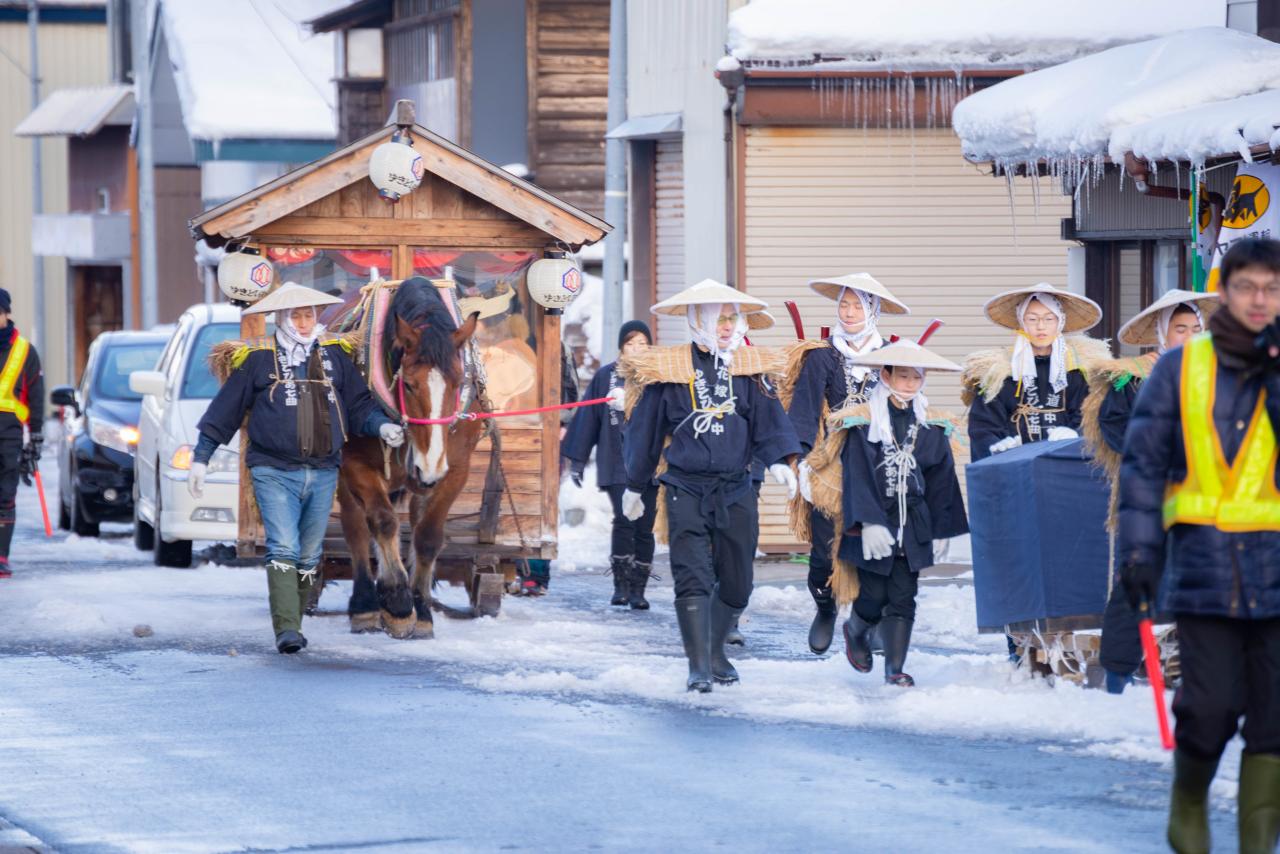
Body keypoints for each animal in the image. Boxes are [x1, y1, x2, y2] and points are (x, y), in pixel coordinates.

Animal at [337, 280, 481, 640]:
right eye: (410, 385)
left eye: (459, 382)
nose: (428, 468)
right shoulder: (356, 465)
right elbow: (383, 522)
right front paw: (398, 601)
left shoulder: (455, 469)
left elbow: (428, 537)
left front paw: (423, 610)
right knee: (356, 525)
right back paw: (365, 605)